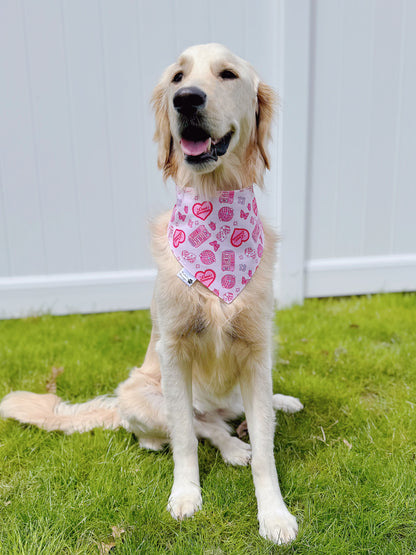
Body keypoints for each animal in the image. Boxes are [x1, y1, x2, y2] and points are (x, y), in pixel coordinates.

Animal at [1, 44, 304, 548]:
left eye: (227, 74)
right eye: (177, 77)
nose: (186, 99)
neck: (214, 211)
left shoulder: (256, 351)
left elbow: (266, 449)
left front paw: (274, 515)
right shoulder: (174, 353)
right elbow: (185, 439)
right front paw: (186, 496)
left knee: (239, 414)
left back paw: (273, 409)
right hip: (138, 394)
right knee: (200, 427)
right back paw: (230, 445)